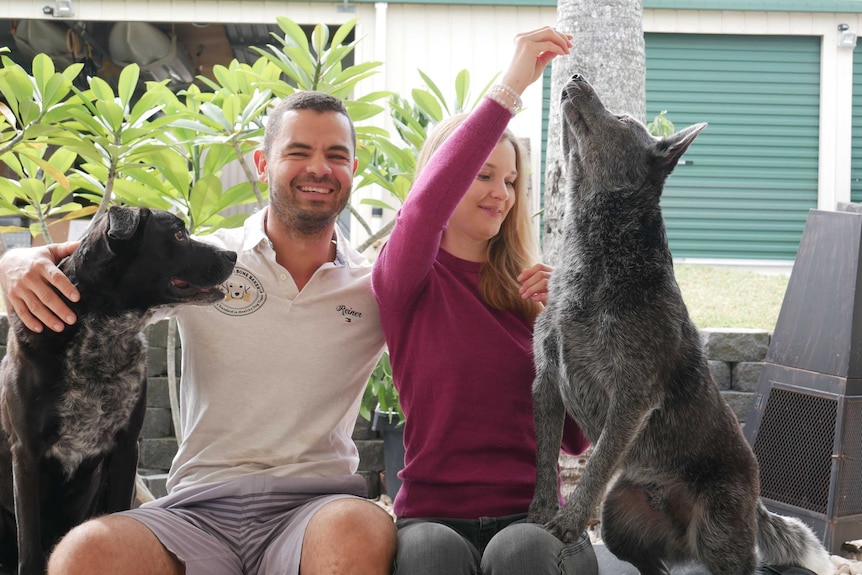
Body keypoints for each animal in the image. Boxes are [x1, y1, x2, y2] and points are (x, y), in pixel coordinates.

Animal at [0, 207, 236, 575]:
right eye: (178, 234)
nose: (233, 255)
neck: (100, 335)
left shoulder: (126, 447)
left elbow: (119, 512)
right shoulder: (25, 451)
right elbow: (30, 546)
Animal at [528, 75, 836, 575]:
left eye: (622, 119)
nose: (574, 77)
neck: (597, 254)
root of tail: (757, 501)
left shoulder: (632, 395)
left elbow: (597, 463)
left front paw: (568, 523)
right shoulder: (547, 382)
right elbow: (544, 456)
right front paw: (539, 512)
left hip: (718, 529)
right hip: (618, 516)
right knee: (652, 563)